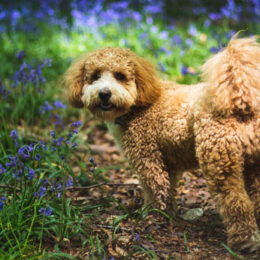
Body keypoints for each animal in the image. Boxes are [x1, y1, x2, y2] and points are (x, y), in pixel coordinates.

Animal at [64, 37, 260, 251]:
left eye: (120, 76)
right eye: (95, 76)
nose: (104, 93)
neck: (138, 104)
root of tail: (241, 102)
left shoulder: (148, 160)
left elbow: (154, 190)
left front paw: (150, 216)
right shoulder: (169, 164)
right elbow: (168, 191)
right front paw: (167, 214)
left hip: (219, 162)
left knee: (236, 201)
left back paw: (245, 239)